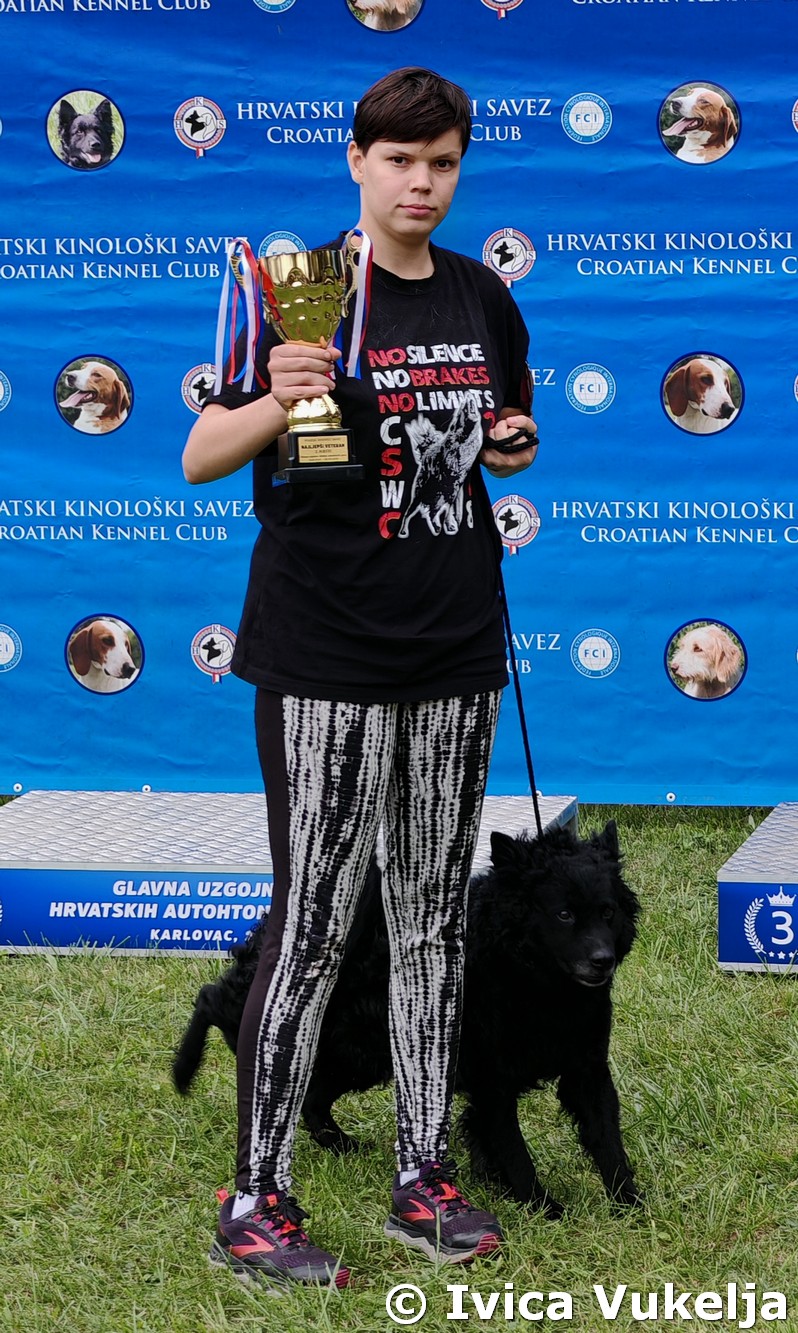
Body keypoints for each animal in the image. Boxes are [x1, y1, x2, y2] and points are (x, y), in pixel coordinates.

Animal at [173, 821, 642, 1214]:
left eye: (607, 912)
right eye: (563, 914)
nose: (602, 960)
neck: (533, 981)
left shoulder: (587, 1069)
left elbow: (608, 1140)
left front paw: (629, 1205)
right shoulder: (492, 1086)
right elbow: (514, 1153)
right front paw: (545, 1209)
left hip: (354, 1053)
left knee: (313, 1097)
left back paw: (341, 1145)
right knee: (212, 999)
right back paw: (184, 1069)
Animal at [397, 392, 484, 538]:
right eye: (461, 411)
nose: (468, 395)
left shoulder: (456, 489)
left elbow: (453, 510)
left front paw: (452, 524)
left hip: (439, 496)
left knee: (433, 512)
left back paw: (439, 526)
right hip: (421, 495)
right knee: (410, 513)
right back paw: (404, 531)